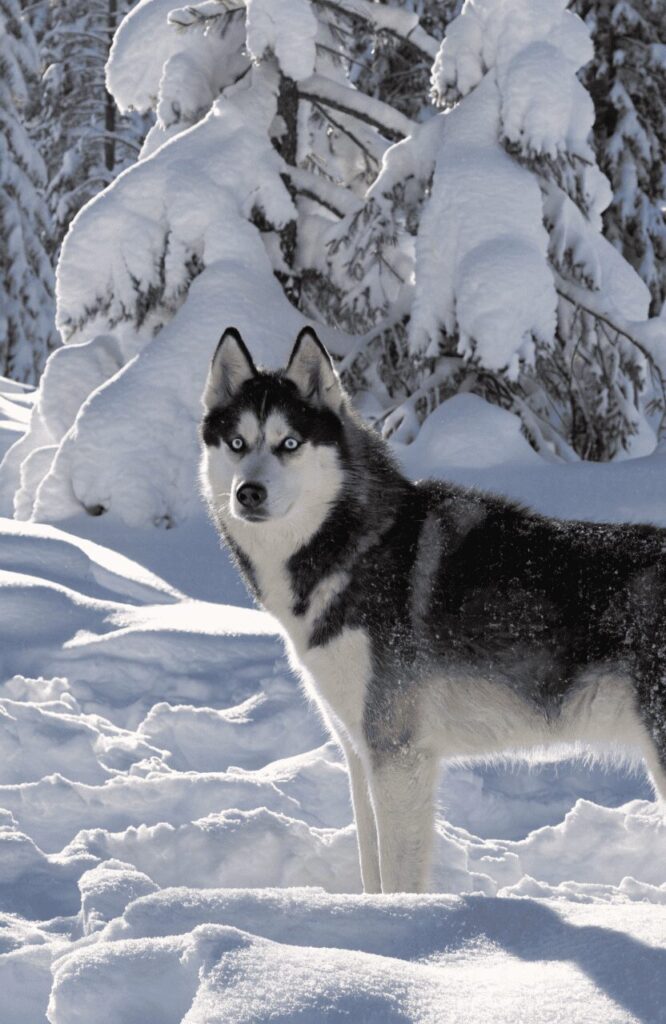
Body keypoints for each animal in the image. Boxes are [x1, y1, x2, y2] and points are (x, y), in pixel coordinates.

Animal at [200, 325, 666, 894]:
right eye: (237, 443)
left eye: (289, 443)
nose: (249, 493)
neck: (349, 545)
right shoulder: (359, 752)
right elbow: (370, 869)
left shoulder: (398, 754)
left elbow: (398, 877)